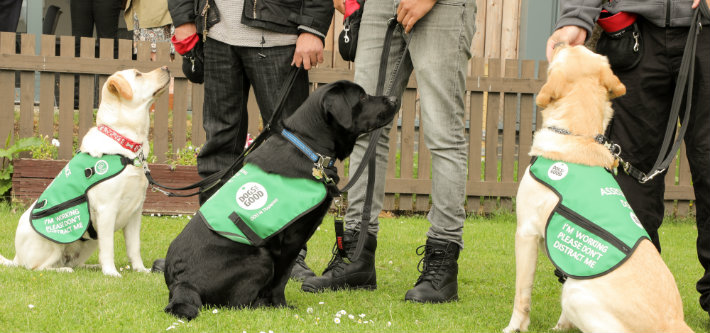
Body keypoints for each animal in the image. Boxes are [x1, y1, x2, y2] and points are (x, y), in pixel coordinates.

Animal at [0, 66, 171, 276]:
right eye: (138, 74)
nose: (167, 67)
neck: (126, 147)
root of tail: (16, 257)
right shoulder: (107, 209)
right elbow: (109, 248)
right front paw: (111, 273)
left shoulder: (136, 212)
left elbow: (134, 247)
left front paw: (141, 270)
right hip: (55, 242)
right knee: (38, 268)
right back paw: (64, 270)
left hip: (89, 242)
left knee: (75, 263)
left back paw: (91, 266)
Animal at [163, 80, 404, 320]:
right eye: (362, 97)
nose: (394, 99)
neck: (310, 149)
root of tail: (182, 282)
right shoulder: (292, 239)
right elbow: (282, 278)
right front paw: (281, 306)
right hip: (261, 257)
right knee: (239, 303)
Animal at [504, 45, 692, 332]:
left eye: (568, 50)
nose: (560, 43)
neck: (578, 135)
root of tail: (674, 323)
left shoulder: (525, 232)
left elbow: (522, 294)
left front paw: (515, 327)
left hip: (575, 292)